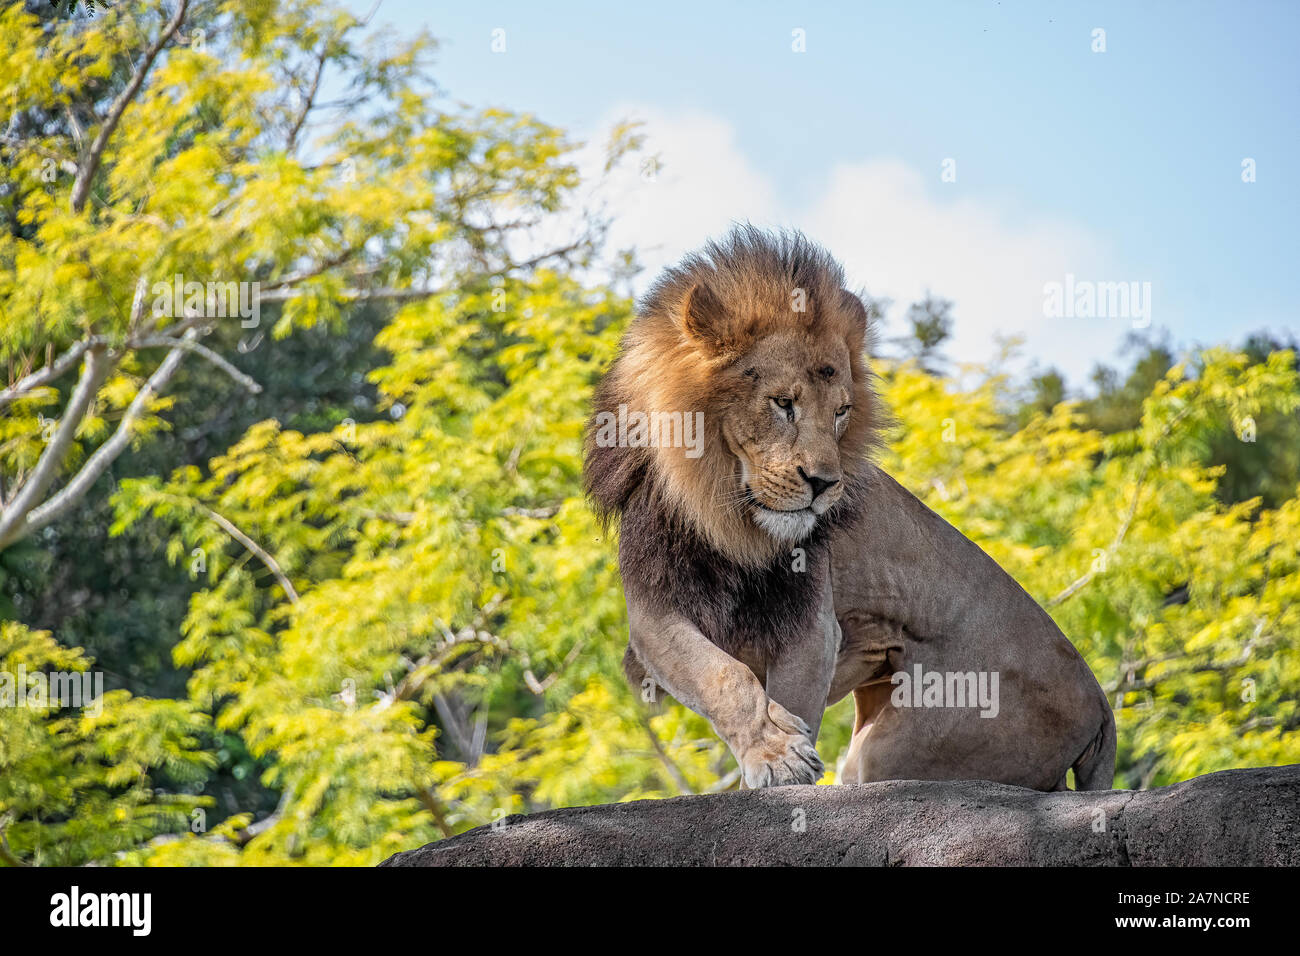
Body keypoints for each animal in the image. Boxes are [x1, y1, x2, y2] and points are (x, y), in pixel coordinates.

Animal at [584, 226, 1116, 792]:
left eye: (840, 412)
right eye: (783, 403)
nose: (823, 483)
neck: (726, 517)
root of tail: (1099, 703)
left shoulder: (810, 623)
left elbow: (777, 692)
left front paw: (782, 763)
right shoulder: (654, 609)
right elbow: (723, 675)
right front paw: (777, 753)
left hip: (895, 746)